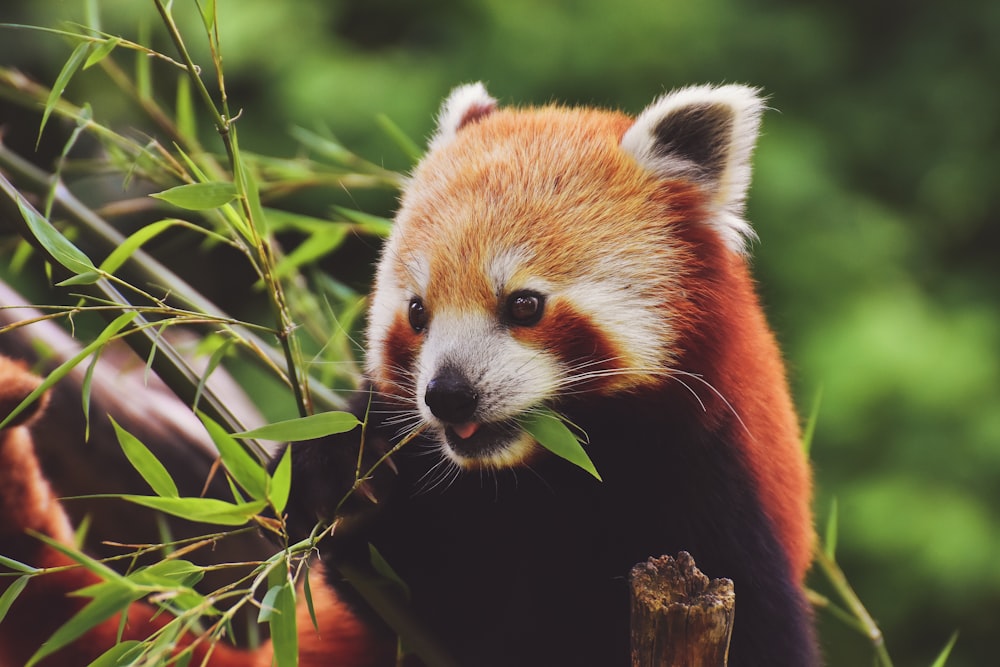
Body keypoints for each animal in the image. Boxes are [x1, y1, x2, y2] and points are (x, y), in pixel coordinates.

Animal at [0, 85, 812, 667]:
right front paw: (339, 473)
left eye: (524, 304)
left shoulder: (713, 506)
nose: (446, 394)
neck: (539, 482)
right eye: (417, 312)